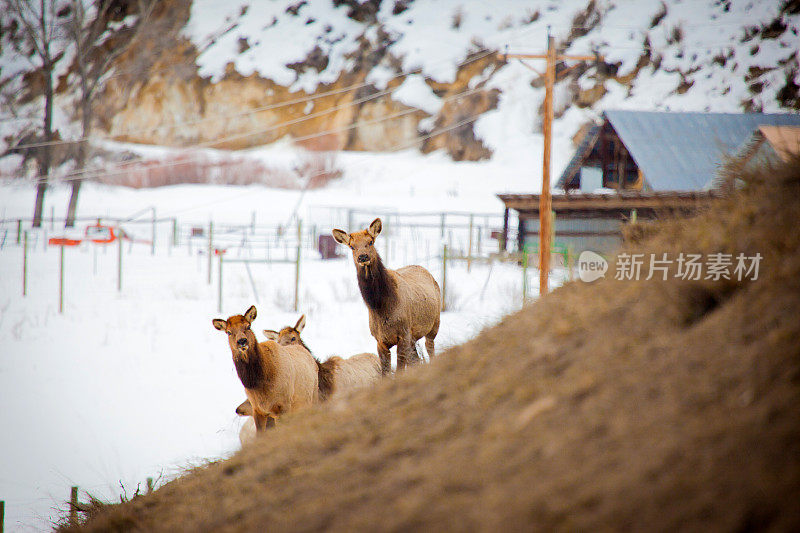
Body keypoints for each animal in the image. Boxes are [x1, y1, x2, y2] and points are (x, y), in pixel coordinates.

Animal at [212, 304, 318, 432]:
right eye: (228, 332)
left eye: (248, 326)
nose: (242, 341)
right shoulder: (258, 410)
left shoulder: (283, 407)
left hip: (312, 398)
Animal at [332, 217, 444, 374]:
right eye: (352, 246)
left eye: (370, 242)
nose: (363, 256)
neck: (381, 307)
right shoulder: (380, 340)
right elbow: (385, 372)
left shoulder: (403, 334)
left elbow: (399, 370)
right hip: (414, 337)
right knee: (416, 359)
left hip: (434, 324)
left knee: (430, 347)